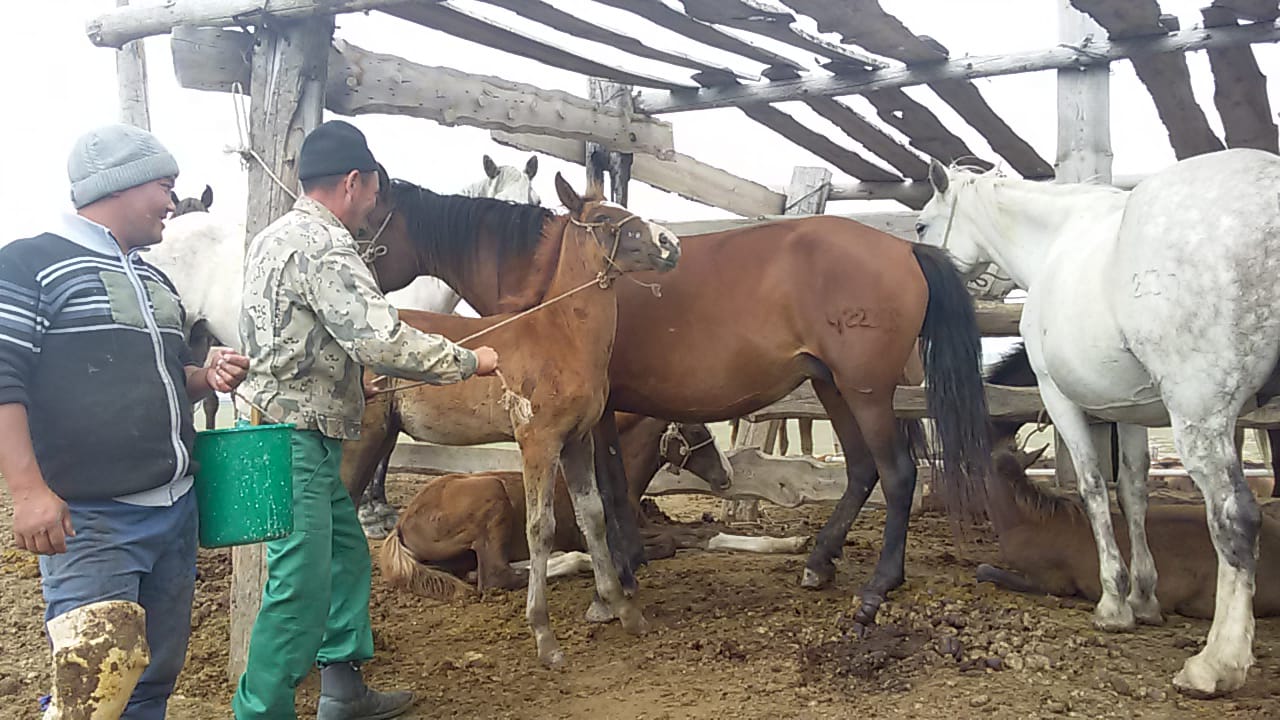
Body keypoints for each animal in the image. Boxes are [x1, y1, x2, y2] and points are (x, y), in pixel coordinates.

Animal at [340, 170, 680, 666]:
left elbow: (592, 516)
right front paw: (544, 637)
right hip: (360, 440)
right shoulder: (538, 441)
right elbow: (541, 528)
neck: (560, 335)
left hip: (382, 437)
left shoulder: (577, 440)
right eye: (603, 219)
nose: (671, 243)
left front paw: (623, 610)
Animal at [373, 412, 727, 597]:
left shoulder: (646, 526)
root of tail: (402, 524)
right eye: (696, 430)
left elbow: (688, 535)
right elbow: (667, 544)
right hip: (492, 497)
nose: (727, 475)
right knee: (494, 576)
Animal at [916, 149, 1280, 696]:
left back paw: (1216, 663)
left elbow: (1091, 487)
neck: (1055, 241)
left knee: (1235, 518)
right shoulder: (1131, 409)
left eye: (921, 224)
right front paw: (1144, 599)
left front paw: (1114, 603)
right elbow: (1132, 491)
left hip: (1200, 415)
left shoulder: (1058, 396)